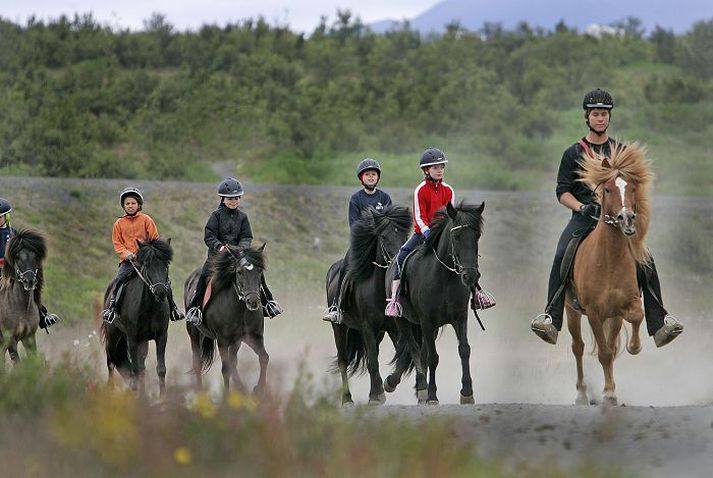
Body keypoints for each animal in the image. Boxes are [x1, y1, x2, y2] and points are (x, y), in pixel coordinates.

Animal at [100, 238, 174, 396]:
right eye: (147, 265)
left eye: (166, 264)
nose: (161, 292)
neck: (149, 307)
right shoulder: (133, 339)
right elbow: (135, 370)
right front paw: (138, 397)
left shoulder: (161, 336)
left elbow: (160, 369)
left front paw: (162, 397)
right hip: (113, 335)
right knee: (111, 362)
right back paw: (111, 391)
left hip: (143, 341)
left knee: (141, 367)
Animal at [185, 245, 268, 394]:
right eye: (239, 272)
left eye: (259, 271)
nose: (253, 301)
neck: (241, 311)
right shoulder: (222, 341)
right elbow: (225, 369)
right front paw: (227, 396)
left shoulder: (252, 337)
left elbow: (264, 357)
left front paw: (259, 389)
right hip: (194, 333)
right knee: (197, 363)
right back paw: (200, 392)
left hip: (235, 342)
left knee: (234, 363)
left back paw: (241, 388)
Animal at [322, 206, 412, 408]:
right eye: (384, 236)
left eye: (404, 236)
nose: (398, 262)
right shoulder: (368, 327)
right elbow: (372, 363)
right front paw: (378, 395)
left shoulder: (393, 328)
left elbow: (400, 357)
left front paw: (388, 385)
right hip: (339, 328)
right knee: (343, 360)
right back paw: (347, 399)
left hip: (379, 333)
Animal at [384, 201, 484, 404]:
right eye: (456, 236)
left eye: (477, 236)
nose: (470, 275)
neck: (444, 277)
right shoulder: (427, 321)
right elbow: (432, 358)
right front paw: (431, 395)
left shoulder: (460, 317)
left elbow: (464, 349)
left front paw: (467, 392)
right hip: (403, 321)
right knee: (415, 349)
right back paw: (418, 387)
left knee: (419, 352)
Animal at [568, 140, 652, 406]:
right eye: (606, 189)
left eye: (632, 188)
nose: (627, 219)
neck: (608, 261)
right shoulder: (594, 312)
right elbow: (604, 353)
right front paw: (608, 394)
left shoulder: (621, 306)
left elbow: (636, 317)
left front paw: (634, 347)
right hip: (571, 310)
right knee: (578, 347)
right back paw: (582, 394)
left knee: (611, 344)